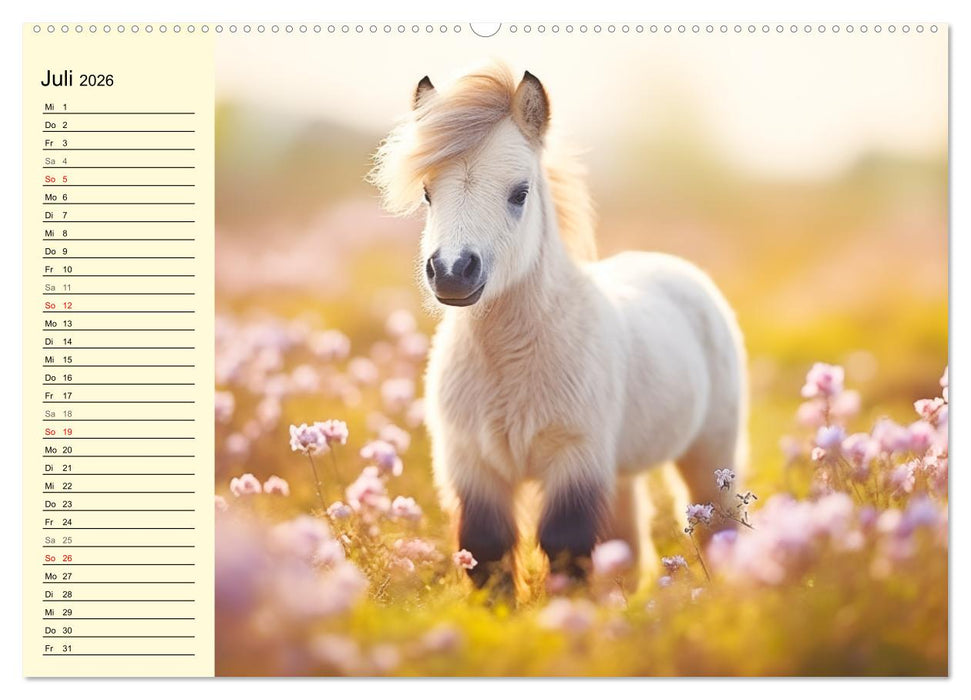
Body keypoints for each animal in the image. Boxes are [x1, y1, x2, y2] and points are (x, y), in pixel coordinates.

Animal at [370, 62, 747, 589]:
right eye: (427, 192)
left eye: (519, 193)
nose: (452, 271)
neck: (508, 362)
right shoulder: (474, 467)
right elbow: (487, 553)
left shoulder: (574, 464)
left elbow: (566, 551)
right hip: (620, 473)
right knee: (628, 548)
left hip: (709, 455)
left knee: (717, 525)